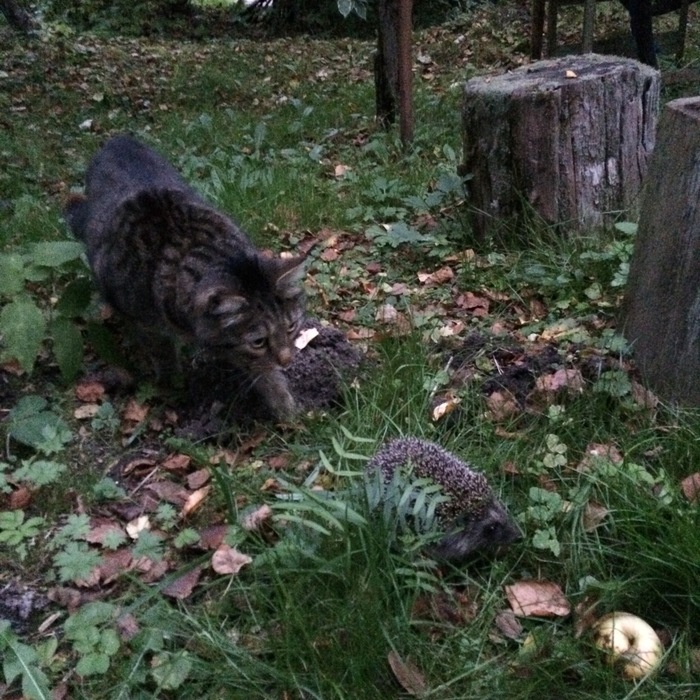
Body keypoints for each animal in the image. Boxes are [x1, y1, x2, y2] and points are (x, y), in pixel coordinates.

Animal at [65, 134, 308, 418]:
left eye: (291, 327)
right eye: (258, 341)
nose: (287, 360)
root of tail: (117, 139)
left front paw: (281, 400)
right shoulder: (147, 326)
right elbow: (164, 356)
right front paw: (174, 387)